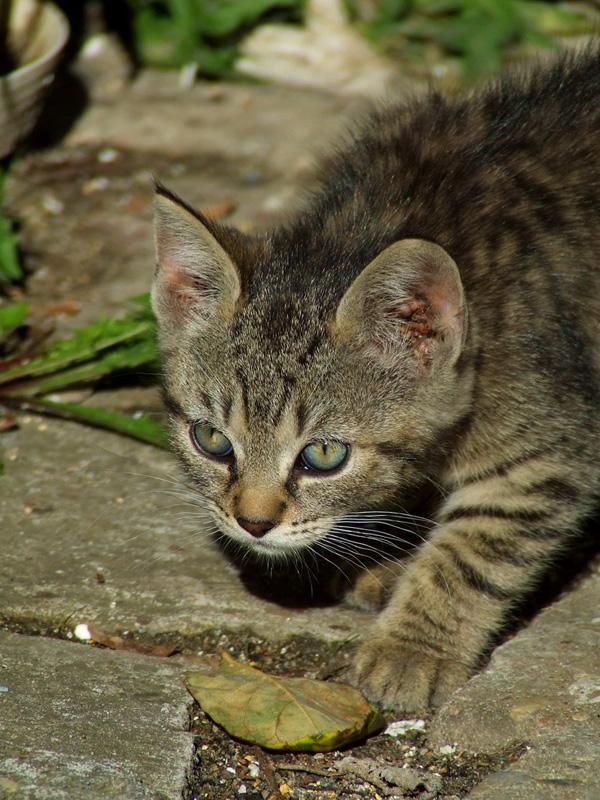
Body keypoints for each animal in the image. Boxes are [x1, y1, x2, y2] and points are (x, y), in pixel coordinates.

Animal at [151, 51, 600, 712]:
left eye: (323, 455)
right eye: (211, 441)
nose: (252, 523)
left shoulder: (547, 445)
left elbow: (472, 550)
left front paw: (413, 647)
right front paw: (387, 557)